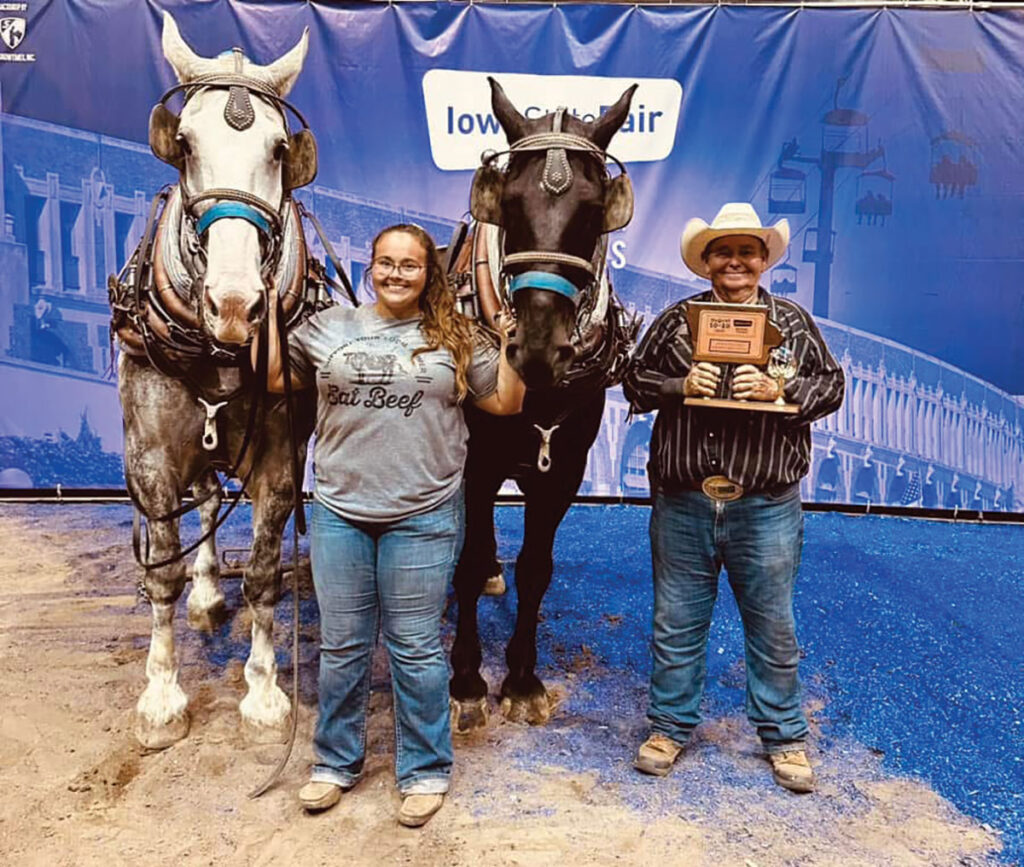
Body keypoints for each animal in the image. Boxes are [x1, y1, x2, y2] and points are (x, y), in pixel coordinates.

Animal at [450, 79, 638, 732]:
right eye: (508, 203)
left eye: (592, 209)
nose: (534, 347)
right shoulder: (476, 464)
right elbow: (465, 558)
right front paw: (466, 681)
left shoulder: (565, 469)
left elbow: (536, 569)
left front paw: (523, 679)